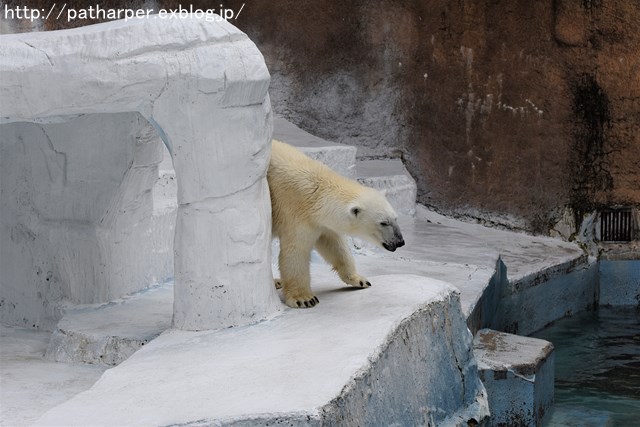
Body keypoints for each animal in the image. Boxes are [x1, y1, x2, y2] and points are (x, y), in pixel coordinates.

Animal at [268, 142, 402, 310]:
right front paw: (304, 299)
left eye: (395, 218)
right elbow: (296, 251)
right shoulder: (294, 211)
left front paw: (359, 280)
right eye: (383, 222)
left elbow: (334, 245)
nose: (400, 241)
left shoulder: (319, 221)